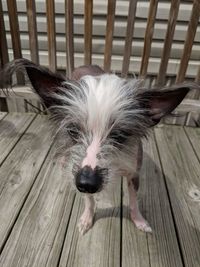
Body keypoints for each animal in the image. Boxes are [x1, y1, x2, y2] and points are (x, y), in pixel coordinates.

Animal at [1, 59, 195, 236]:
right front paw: (87, 218)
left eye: (120, 136)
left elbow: (134, 202)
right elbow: (89, 200)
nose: (87, 182)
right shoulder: (81, 176)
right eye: (72, 131)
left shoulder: (133, 174)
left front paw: (139, 220)